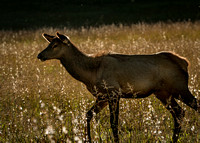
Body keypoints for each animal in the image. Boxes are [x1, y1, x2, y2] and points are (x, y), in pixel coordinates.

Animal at [37, 32, 198, 143]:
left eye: (55, 46)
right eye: (48, 44)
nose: (39, 55)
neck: (89, 74)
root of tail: (185, 62)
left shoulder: (114, 93)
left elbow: (113, 123)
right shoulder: (102, 97)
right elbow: (88, 115)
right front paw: (88, 139)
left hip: (180, 88)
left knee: (194, 105)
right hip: (163, 93)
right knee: (179, 112)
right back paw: (173, 138)